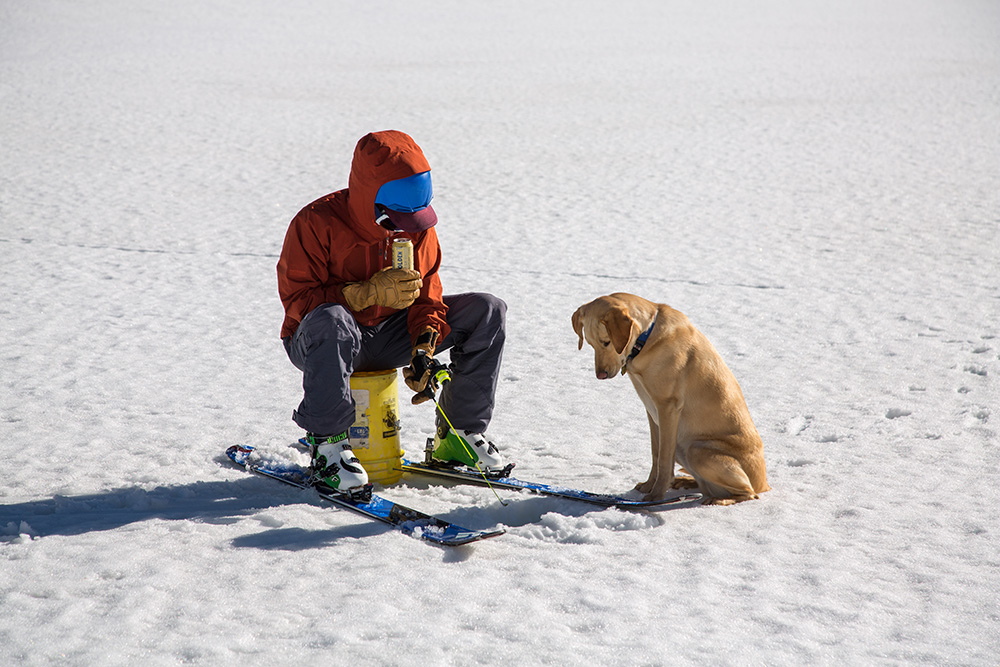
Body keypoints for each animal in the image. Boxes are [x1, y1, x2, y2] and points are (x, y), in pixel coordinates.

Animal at [572, 292, 772, 506]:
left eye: (606, 342)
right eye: (590, 344)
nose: (600, 375)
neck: (647, 338)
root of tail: (764, 483)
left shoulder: (667, 408)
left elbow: (664, 459)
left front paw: (656, 496)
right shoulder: (652, 412)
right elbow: (656, 453)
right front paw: (648, 486)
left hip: (696, 449)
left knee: (749, 493)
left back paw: (719, 499)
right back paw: (687, 481)